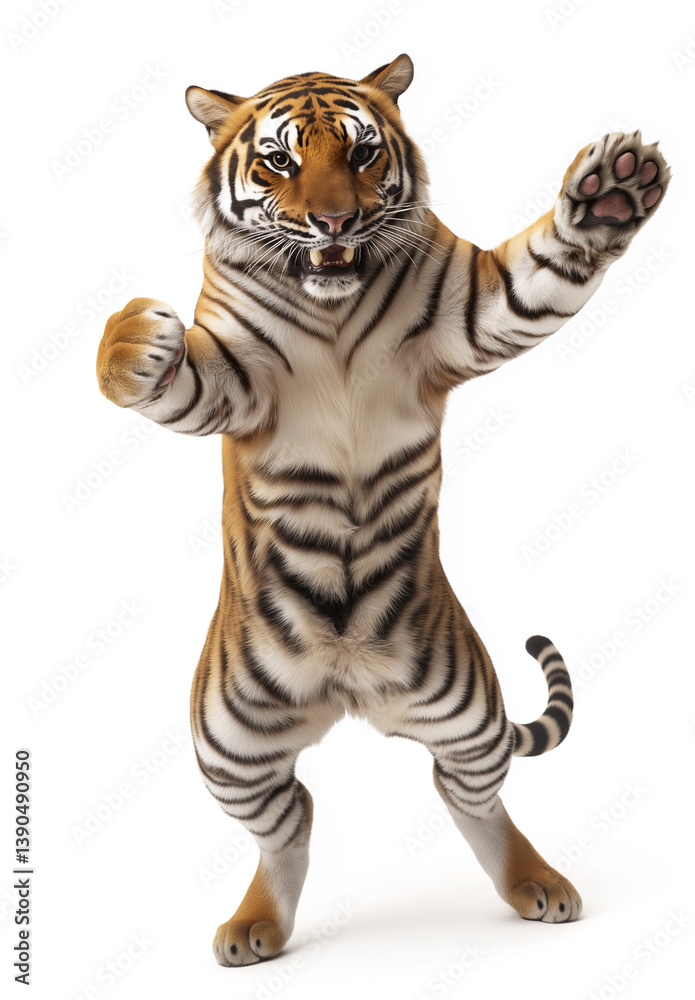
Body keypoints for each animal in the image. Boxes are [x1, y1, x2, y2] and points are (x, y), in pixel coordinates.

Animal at [96, 54, 669, 966]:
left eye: (362, 155)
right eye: (279, 162)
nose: (334, 220)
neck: (329, 303)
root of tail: (349, 695)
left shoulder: (475, 313)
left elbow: (545, 268)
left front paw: (613, 190)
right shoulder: (237, 386)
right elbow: (165, 370)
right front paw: (135, 340)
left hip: (466, 709)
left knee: (466, 795)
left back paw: (539, 886)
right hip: (228, 744)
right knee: (292, 817)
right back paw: (254, 929)